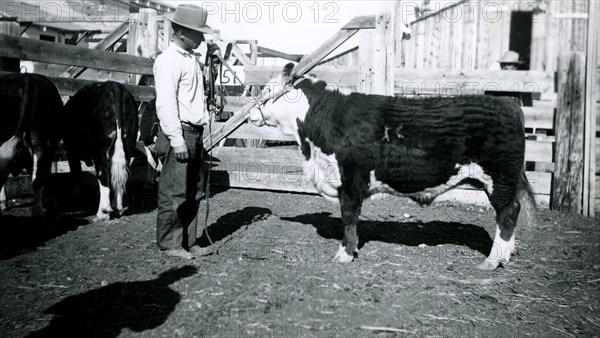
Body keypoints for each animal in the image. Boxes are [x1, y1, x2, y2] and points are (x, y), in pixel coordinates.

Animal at [0, 72, 64, 218]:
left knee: (37, 175)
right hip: (48, 140)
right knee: (42, 172)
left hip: (38, 136)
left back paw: (38, 211)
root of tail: (28, 78)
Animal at [62, 80, 139, 220]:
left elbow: (75, 171)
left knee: (103, 173)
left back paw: (103, 212)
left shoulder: (71, 149)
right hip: (129, 142)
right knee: (121, 173)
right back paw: (117, 208)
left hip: (99, 147)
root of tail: (115, 85)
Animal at [248, 62, 536, 270]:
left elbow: (349, 218)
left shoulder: (350, 179)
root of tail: (509, 103)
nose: (249, 112)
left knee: (507, 213)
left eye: (267, 89)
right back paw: (505, 255)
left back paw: (492, 261)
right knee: (511, 211)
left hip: (499, 177)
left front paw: (344, 254)